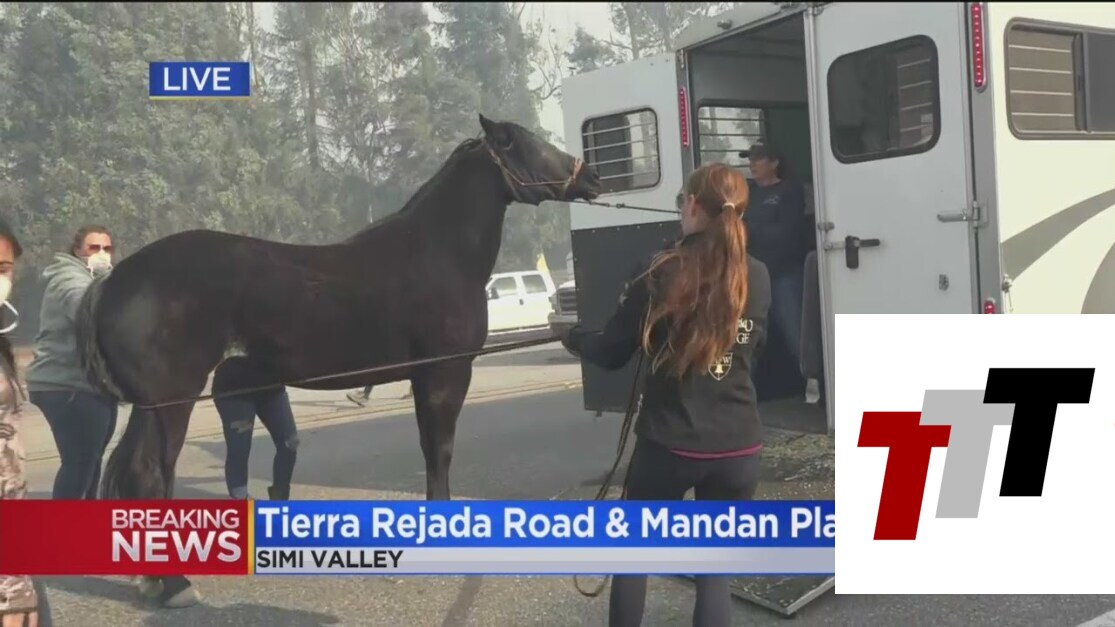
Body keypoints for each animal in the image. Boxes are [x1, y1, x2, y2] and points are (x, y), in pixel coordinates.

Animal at [73, 114, 602, 607]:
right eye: (530, 144)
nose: (593, 177)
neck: (439, 254)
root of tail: (112, 282)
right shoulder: (446, 374)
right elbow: (441, 452)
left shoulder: (425, 379)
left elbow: (430, 448)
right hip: (172, 402)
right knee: (151, 474)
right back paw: (176, 584)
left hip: (151, 407)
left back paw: (153, 582)